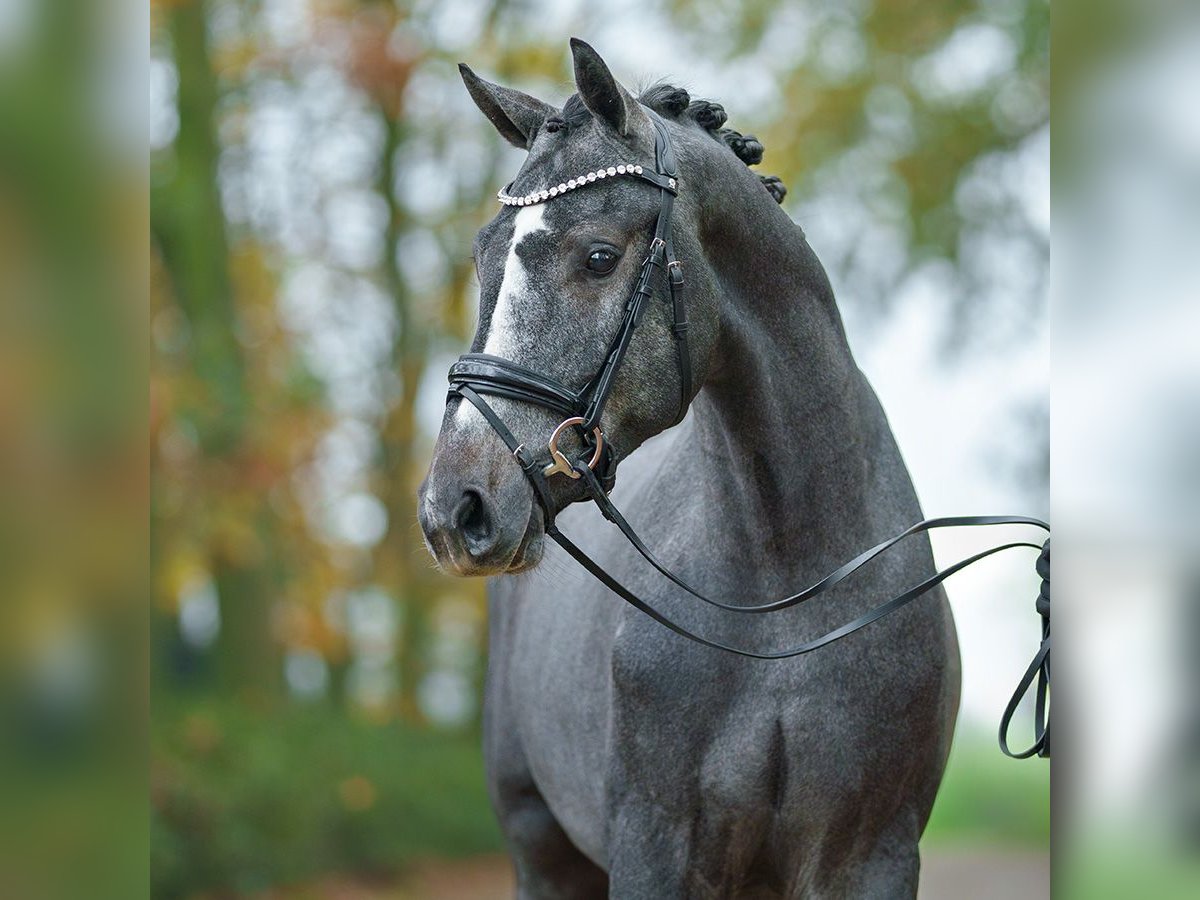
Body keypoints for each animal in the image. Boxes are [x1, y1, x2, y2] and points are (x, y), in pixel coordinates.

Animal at [417, 38, 960, 897]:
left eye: (598, 257)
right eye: (483, 260)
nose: (454, 509)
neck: (785, 604)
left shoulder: (870, 858)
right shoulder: (655, 849)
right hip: (541, 851)